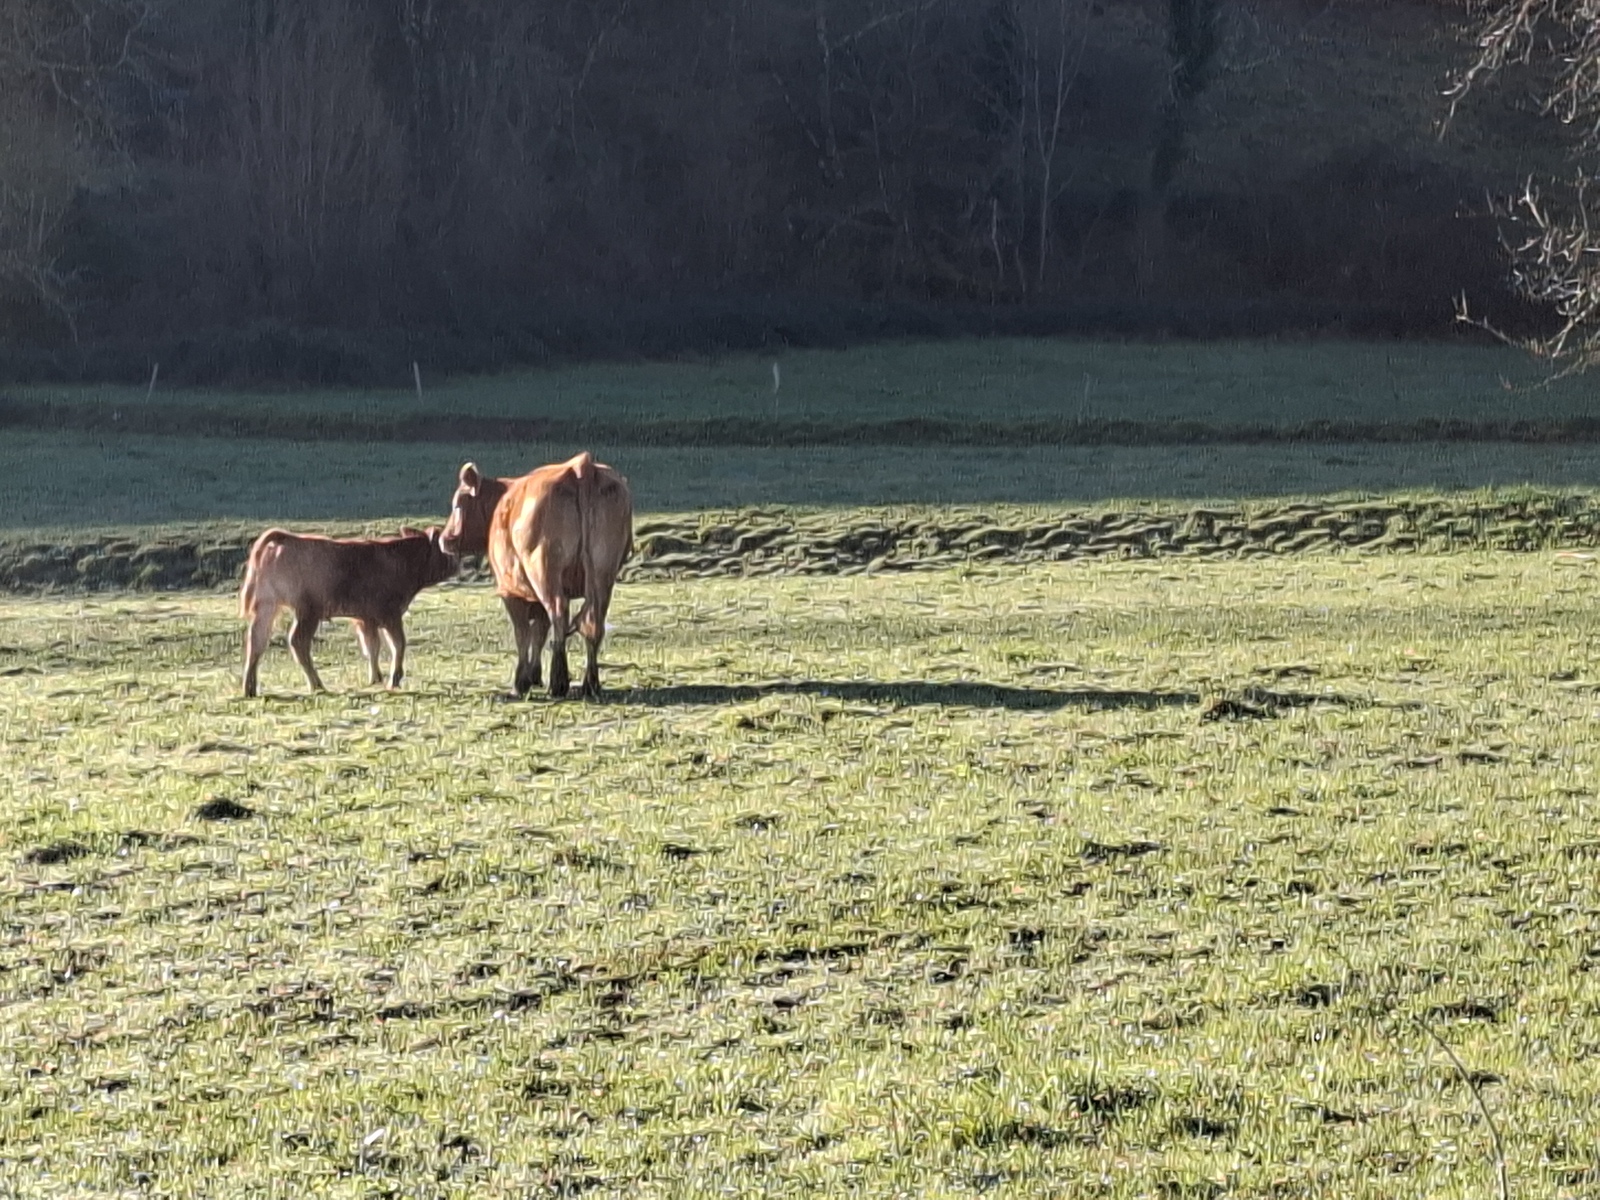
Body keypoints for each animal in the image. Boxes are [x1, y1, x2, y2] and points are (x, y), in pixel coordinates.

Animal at [239, 526, 459, 697]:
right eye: (443, 547)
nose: (458, 562)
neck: (398, 559)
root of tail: (285, 538)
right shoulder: (390, 614)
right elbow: (398, 644)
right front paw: (393, 679)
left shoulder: (366, 619)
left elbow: (372, 646)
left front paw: (375, 678)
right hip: (307, 611)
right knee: (297, 641)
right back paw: (317, 685)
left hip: (268, 606)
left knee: (257, 640)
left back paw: (249, 688)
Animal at [440, 451, 633, 699]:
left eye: (458, 504)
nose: (444, 539)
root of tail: (581, 465)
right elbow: (539, 632)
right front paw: (534, 675)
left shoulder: (510, 591)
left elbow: (523, 633)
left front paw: (522, 681)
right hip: (602, 573)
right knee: (593, 622)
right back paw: (590, 684)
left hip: (544, 571)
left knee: (559, 613)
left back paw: (558, 683)